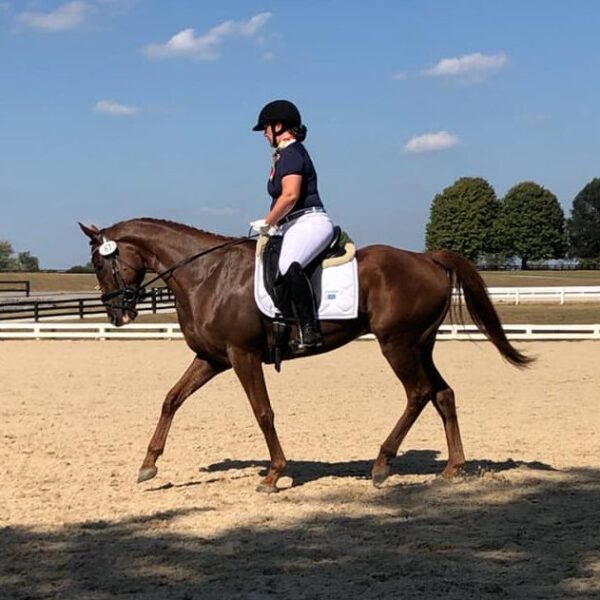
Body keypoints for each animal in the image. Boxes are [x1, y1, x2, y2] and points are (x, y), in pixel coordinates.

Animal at [78, 218, 528, 490]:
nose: (118, 315)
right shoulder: (213, 359)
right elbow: (171, 399)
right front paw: (149, 464)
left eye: (99, 265)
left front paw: (274, 473)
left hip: (397, 344)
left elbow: (263, 412)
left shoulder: (242, 356)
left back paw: (382, 464)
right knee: (442, 394)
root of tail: (426, 257)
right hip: (421, 345)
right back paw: (453, 468)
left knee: (418, 394)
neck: (207, 275)